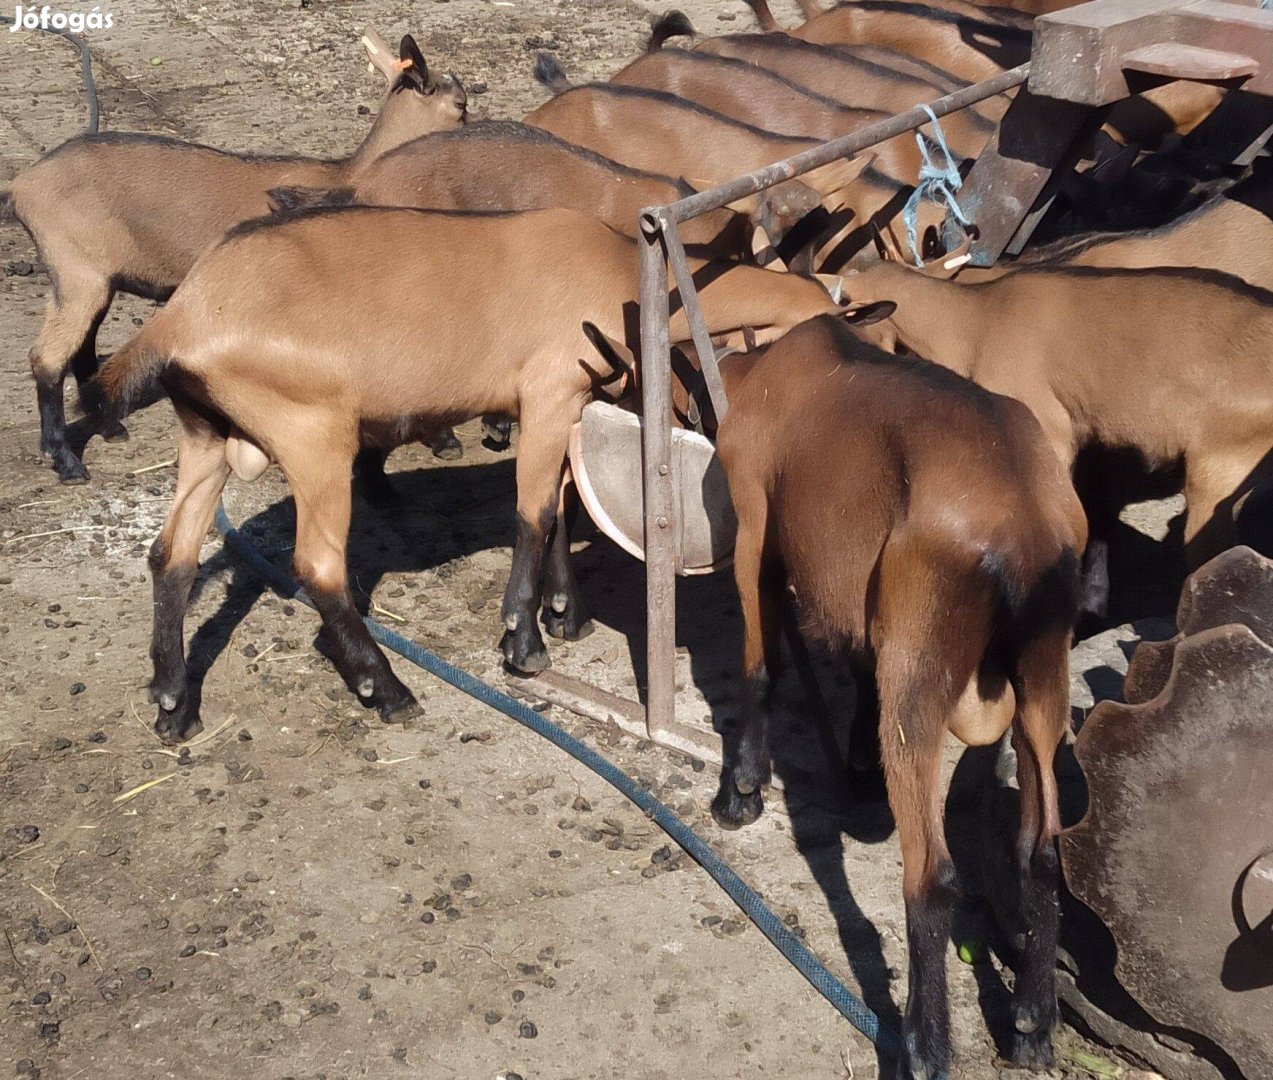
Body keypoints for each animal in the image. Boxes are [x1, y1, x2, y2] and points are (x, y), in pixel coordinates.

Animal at [707, 312, 1084, 1080]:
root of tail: (1027, 526)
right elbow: (854, 668)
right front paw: (855, 771)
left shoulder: (755, 525)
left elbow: (759, 666)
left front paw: (741, 791)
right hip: (1042, 671)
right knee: (1040, 850)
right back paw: (1032, 1026)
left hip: (919, 662)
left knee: (931, 875)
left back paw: (923, 1045)